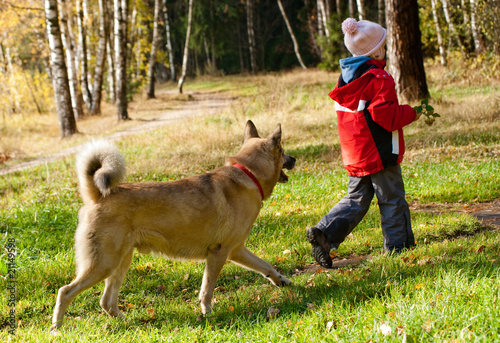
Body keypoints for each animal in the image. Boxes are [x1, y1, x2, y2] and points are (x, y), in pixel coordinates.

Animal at [50, 121, 294, 334]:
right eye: (283, 151)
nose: (294, 158)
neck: (248, 173)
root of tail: (97, 196)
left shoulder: (237, 250)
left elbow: (265, 265)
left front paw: (281, 280)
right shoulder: (219, 253)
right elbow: (207, 289)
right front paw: (207, 313)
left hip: (120, 262)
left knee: (106, 301)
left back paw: (129, 322)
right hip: (103, 264)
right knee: (65, 292)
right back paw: (56, 329)